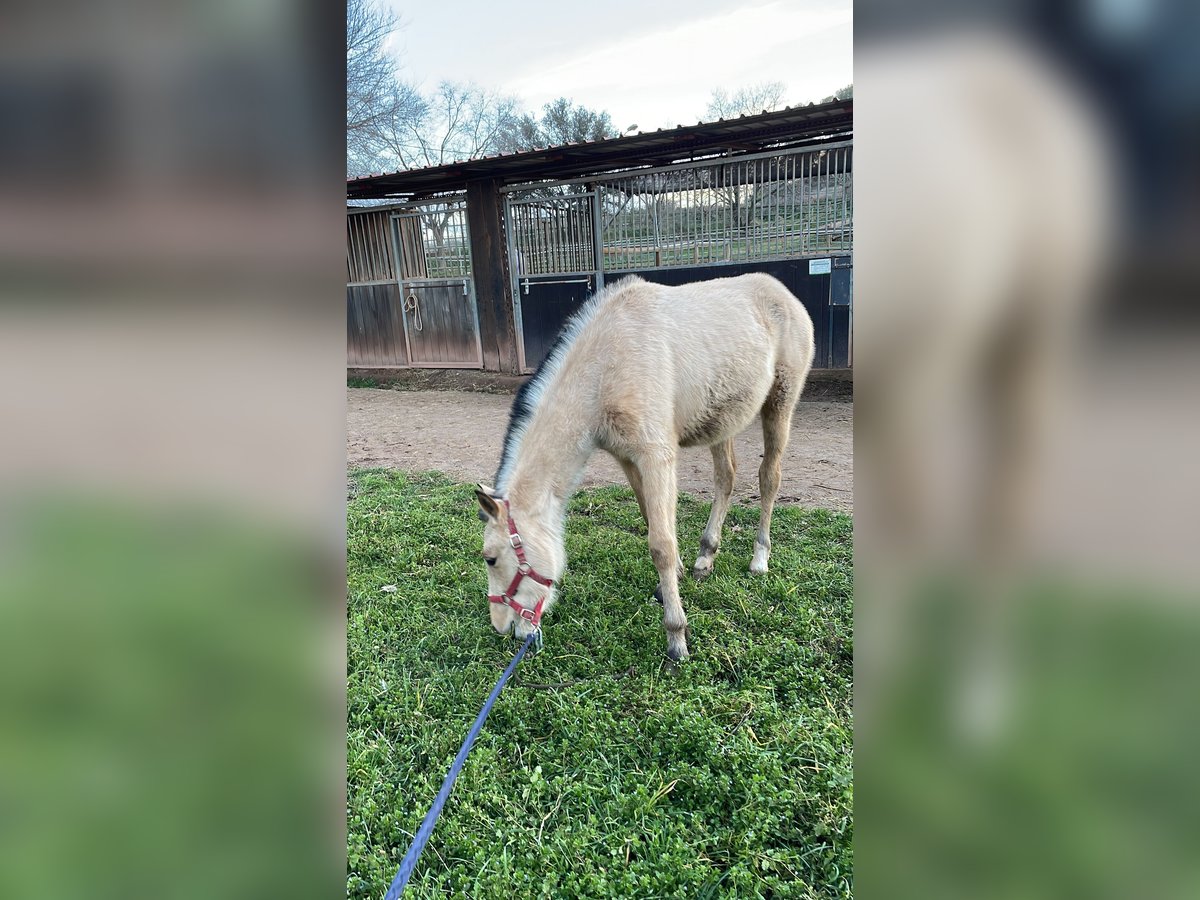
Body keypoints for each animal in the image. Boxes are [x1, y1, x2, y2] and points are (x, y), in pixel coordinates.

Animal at [475, 273, 816, 662]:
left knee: (769, 478)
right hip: (723, 420)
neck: (607, 366)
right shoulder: (627, 457)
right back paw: (705, 557)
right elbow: (651, 520)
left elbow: (661, 545)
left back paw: (760, 559)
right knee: (726, 478)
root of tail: (782, 292)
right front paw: (677, 577)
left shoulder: (657, 456)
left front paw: (676, 638)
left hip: (779, 404)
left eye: (490, 559)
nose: (503, 628)